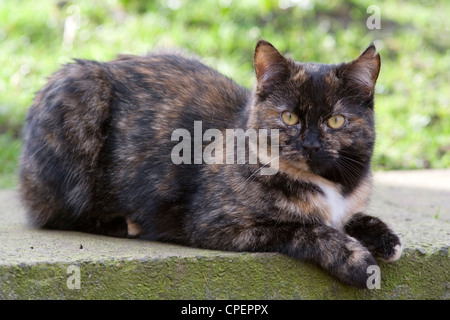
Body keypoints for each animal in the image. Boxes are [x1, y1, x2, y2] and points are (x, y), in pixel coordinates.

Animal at [20, 39, 400, 288]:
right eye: (289, 116)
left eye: (336, 121)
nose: (311, 144)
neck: (327, 185)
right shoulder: (215, 225)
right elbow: (305, 228)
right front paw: (356, 261)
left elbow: (349, 218)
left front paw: (384, 237)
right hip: (80, 92)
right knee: (58, 212)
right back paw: (122, 223)